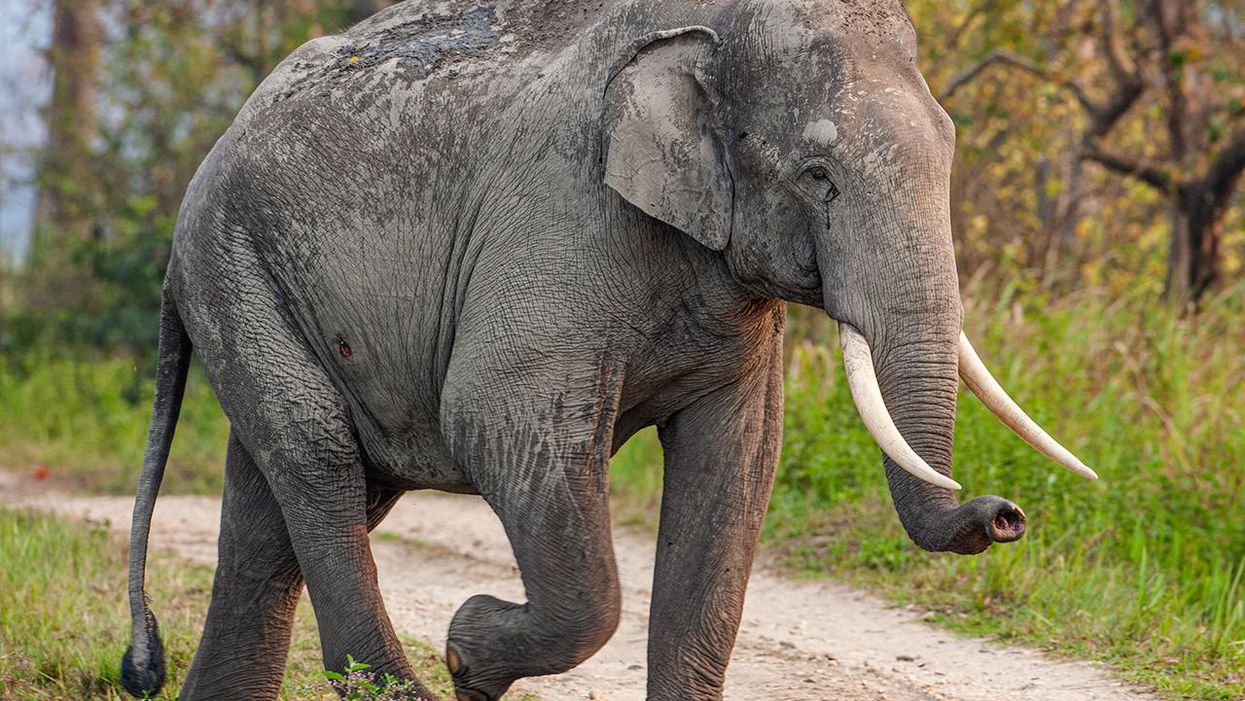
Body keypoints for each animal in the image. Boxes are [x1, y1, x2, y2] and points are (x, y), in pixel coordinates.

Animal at [121, 0, 1097, 699]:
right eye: (818, 176)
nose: (1003, 513)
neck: (708, 28)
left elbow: (735, 467)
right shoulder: (559, 225)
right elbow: (495, 419)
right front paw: (469, 652)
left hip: (251, 280)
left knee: (278, 508)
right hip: (232, 264)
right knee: (320, 462)